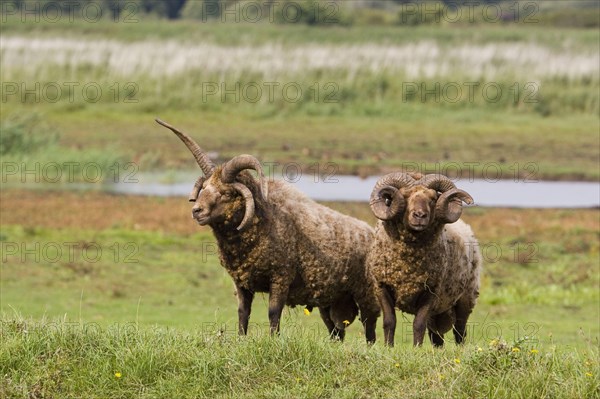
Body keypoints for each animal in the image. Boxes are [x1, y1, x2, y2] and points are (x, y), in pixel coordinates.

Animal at [156, 119, 380, 344]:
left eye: (226, 193)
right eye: (204, 188)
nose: (196, 211)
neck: (264, 221)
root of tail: (371, 233)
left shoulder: (280, 277)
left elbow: (273, 313)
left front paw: (274, 341)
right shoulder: (241, 282)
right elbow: (242, 313)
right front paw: (241, 340)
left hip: (367, 295)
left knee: (370, 330)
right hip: (330, 301)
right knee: (336, 332)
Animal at [364, 173, 480, 348]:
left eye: (433, 198)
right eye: (404, 196)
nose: (419, 216)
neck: (408, 266)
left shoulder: (431, 291)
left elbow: (419, 323)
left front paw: (416, 349)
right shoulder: (382, 287)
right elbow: (389, 321)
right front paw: (388, 347)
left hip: (465, 298)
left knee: (460, 330)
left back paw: (460, 348)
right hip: (439, 311)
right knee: (437, 336)